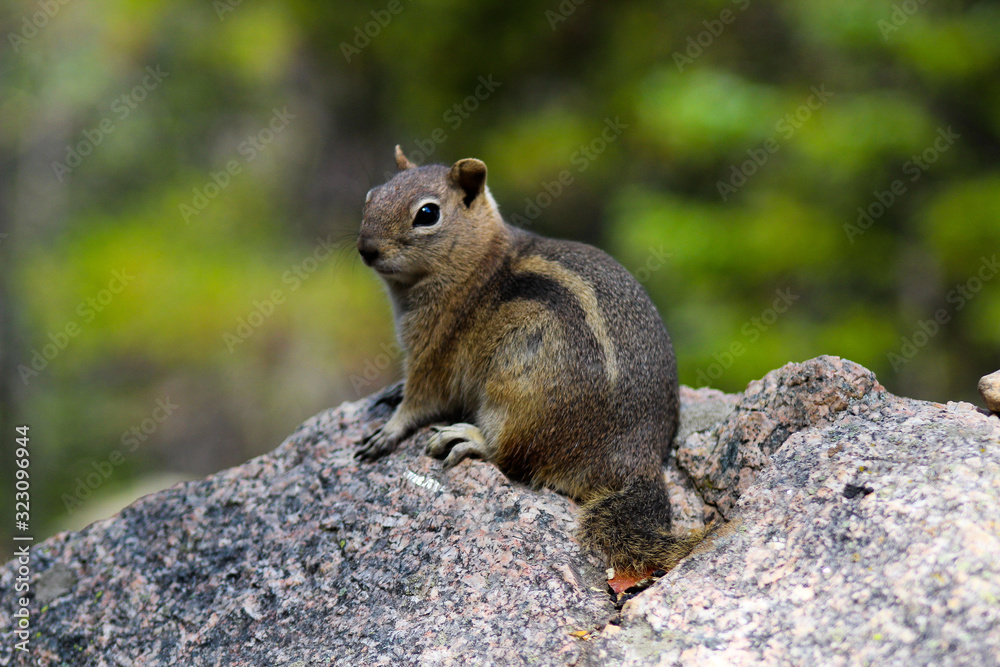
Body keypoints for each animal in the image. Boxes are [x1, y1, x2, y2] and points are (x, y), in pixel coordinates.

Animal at [355, 146, 703, 577]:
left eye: (427, 213)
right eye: (371, 195)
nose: (366, 248)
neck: (476, 264)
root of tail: (637, 455)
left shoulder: (434, 351)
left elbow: (419, 402)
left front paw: (388, 430)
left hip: (517, 397)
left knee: (512, 458)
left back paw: (469, 438)